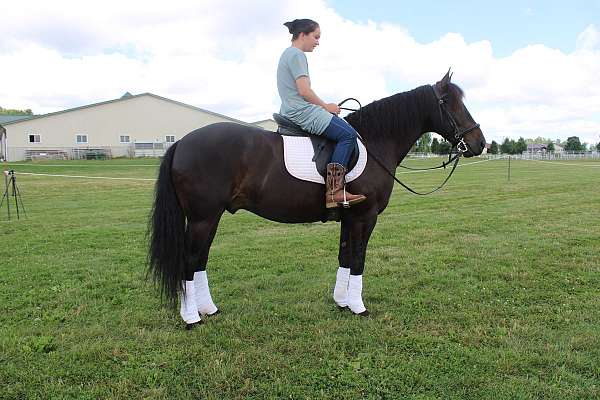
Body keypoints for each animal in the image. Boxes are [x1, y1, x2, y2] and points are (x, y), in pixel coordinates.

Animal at [149, 71, 488, 328]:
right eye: (449, 103)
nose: (479, 143)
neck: (373, 142)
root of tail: (181, 143)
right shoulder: (365, 216)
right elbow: (359, 259)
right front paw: (358, 306)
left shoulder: (349, 218)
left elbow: (344, 257)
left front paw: (341, 302)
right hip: (203, 218)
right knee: (190, 261)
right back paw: (191, 318)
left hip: (208, 218)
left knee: (199, 260)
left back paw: (208, 310)